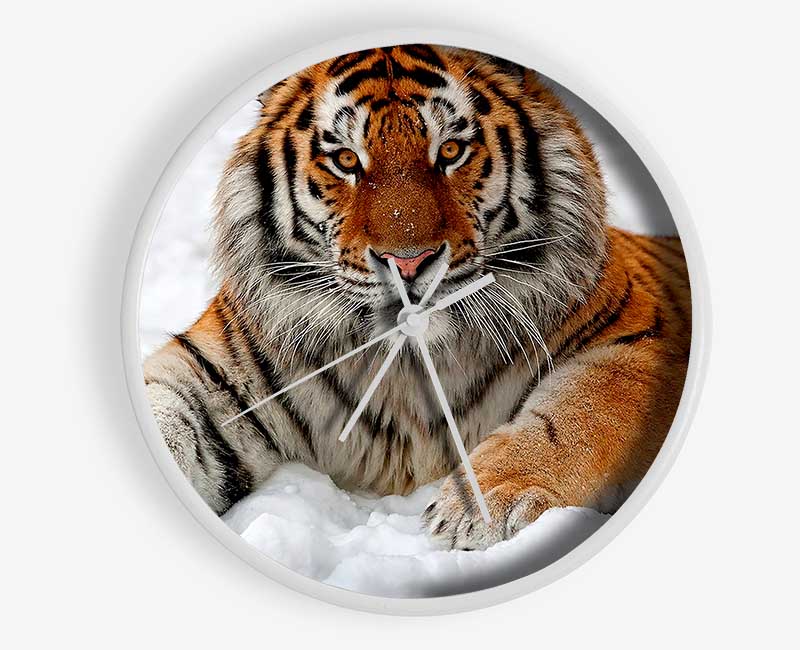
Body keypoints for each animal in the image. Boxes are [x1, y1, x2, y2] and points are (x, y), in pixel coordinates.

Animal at [144, 44, 691, 551]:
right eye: (345, 159)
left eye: (450, 151)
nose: (408, 262)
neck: (408, 365)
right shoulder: (214, 375)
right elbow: (167, 415)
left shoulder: (638, 340)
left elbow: (579, 416)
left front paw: (485, 504)